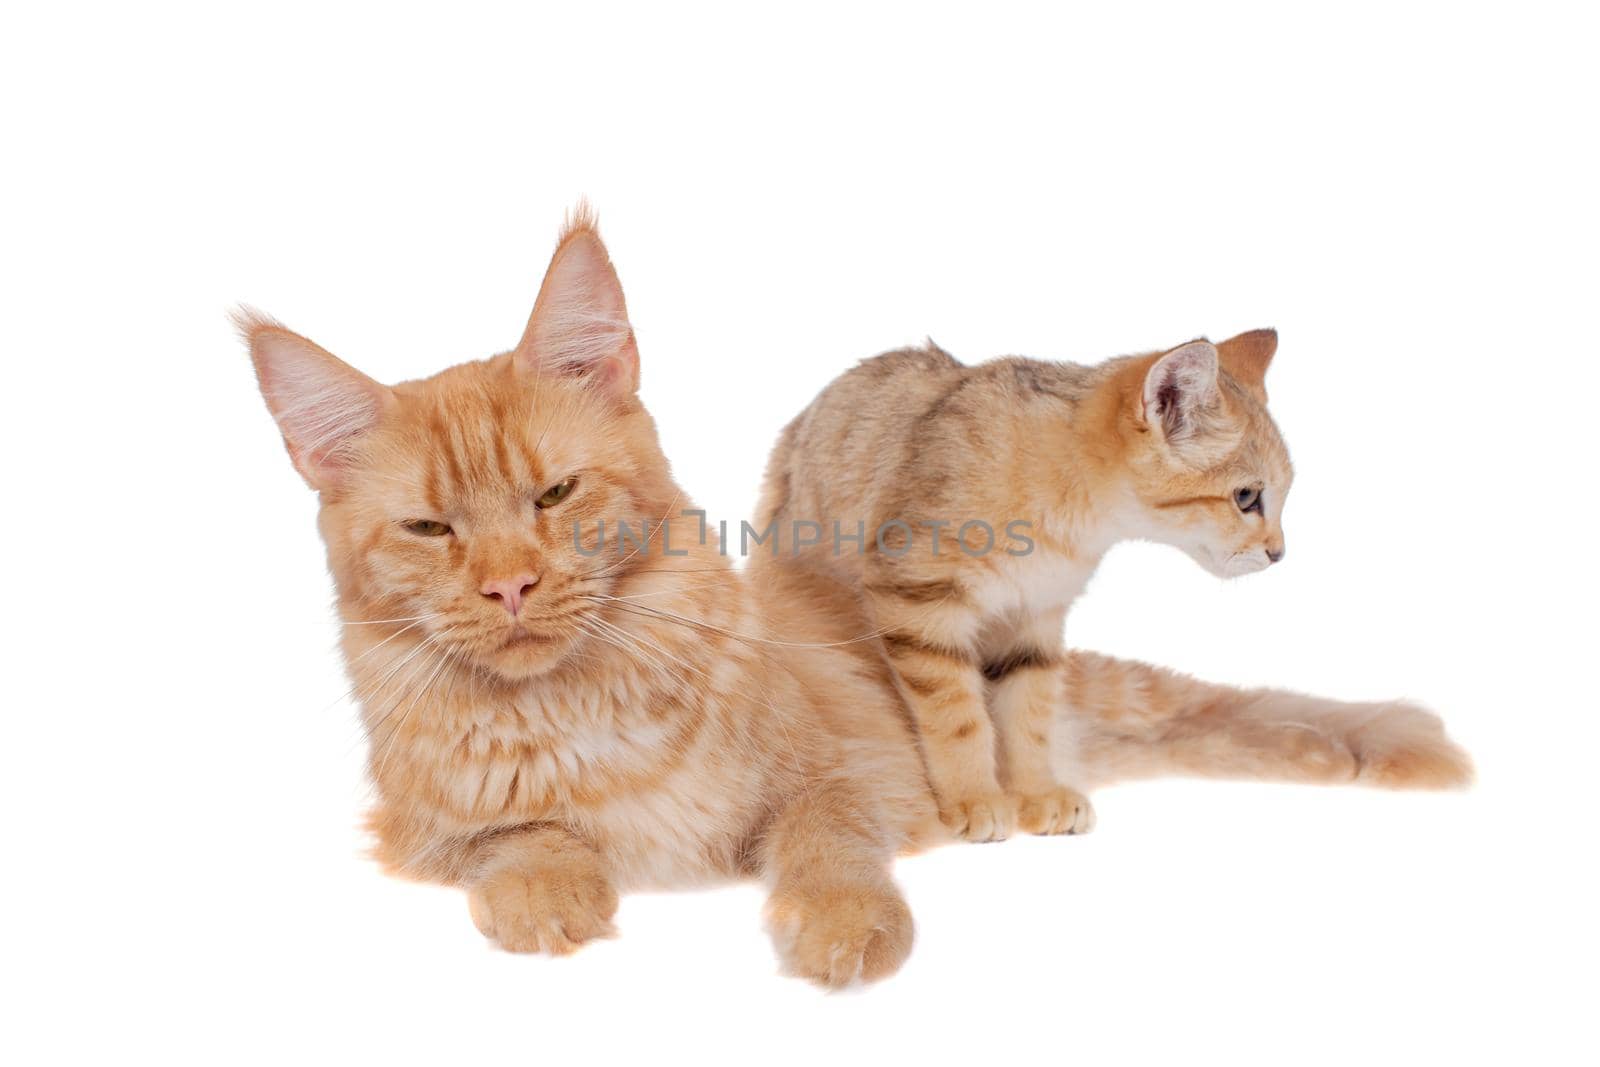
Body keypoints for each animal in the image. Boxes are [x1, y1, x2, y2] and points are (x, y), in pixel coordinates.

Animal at [761, 329, 1312, 838]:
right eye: (1246, 497)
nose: (1279, 553)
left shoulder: (1034, 619)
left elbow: (1028, 718)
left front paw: (1036, 793)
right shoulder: (918, 601)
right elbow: (958, 717)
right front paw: (974, 798)